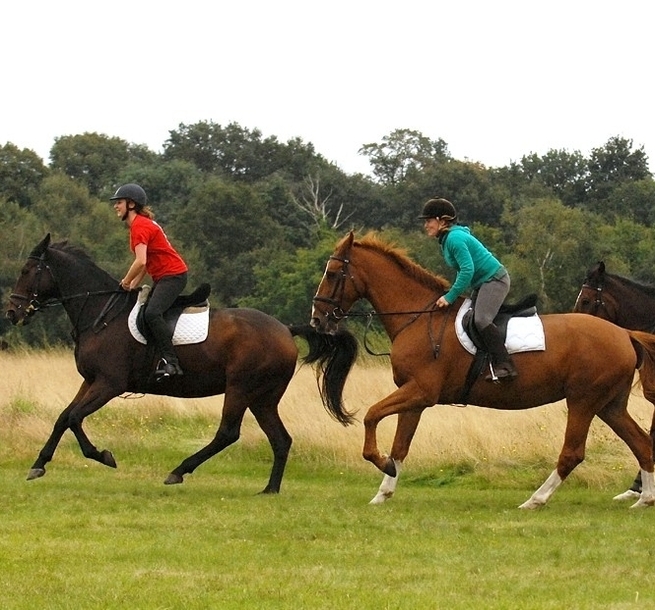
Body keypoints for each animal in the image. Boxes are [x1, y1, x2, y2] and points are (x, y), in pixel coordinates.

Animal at [6, 235, 358, 492]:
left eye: (26, 271)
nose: (13, 312)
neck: (102, 313)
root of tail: (286, 329)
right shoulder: (91, 381)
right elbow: (63, 417)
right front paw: (39, 464)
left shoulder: (109, 384)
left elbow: (75, 417)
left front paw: (103, 456)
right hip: (263, 398)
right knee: (280, 439)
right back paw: (270, 489)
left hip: (241, 388)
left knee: (228, 433)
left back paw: (179, 471)